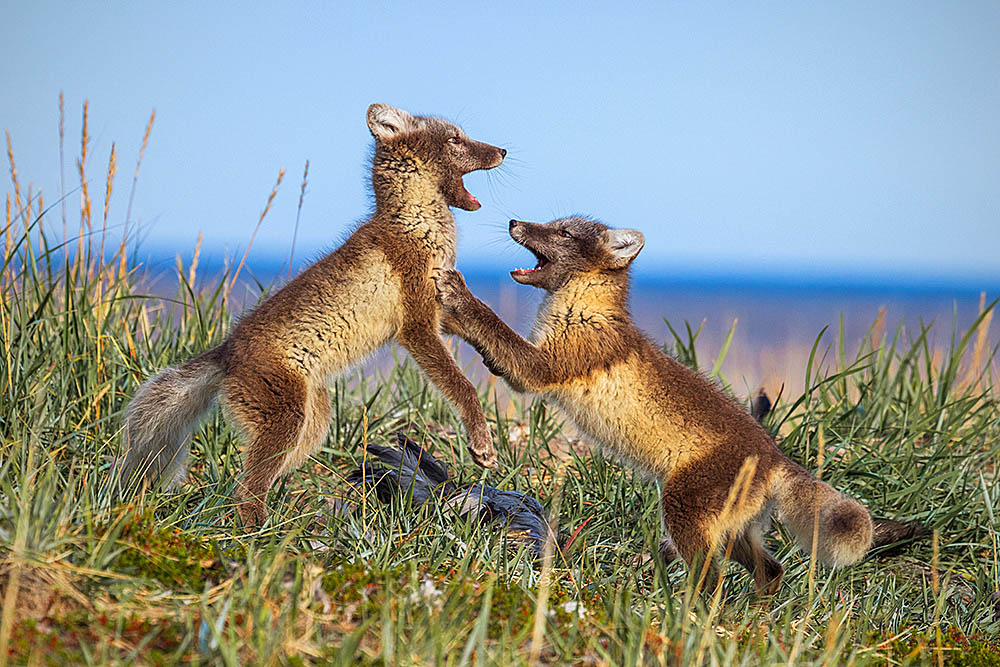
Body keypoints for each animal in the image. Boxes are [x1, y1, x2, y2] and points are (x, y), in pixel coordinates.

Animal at [120, 104, 504, 524]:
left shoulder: (439, 312)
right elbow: (463, 386)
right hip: (287, 422)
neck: (417, 224)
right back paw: (260, 532)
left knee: (249, 483)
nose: (503, 151)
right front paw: (482, 444)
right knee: (245, 491)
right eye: (455, 139)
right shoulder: (417, 327)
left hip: (311, 428)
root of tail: (227, 351)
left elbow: (481, 322)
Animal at [438, 217, 876, 592]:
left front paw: (460, 293)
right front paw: (445, 317)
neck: (579, 307)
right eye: (552, 223)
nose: (514, 221)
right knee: (772, 570)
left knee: (712, 582)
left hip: (684, 514)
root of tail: (774, 455)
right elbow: (486, 340)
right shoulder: (525, 368)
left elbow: (492, 323)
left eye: (563, 232)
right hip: (732, 532)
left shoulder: (541, 368)